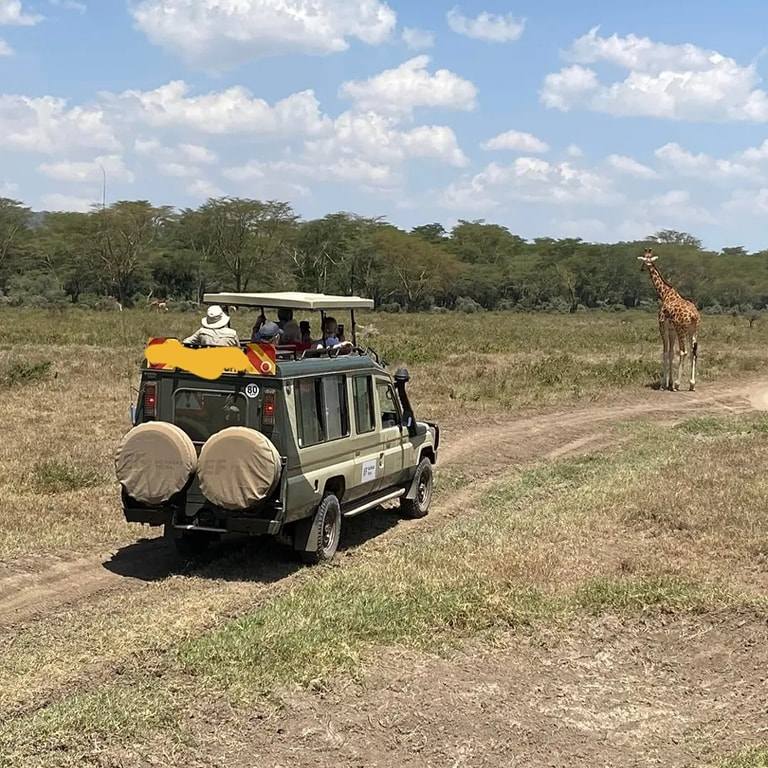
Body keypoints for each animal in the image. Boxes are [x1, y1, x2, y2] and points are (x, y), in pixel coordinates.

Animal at [636, 249, 704, 390]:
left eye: (644, 261)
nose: (641, 269)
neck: (665, 294)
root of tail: (694, 315)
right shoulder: (671, 329)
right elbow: (671, 352)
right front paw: (670, 383)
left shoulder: (662, 326)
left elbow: (665, 352)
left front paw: (664, 384)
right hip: (694, 330)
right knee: (694, 352)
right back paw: (691, 384)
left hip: (681, 329)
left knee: (683, 352)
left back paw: (678, 384)